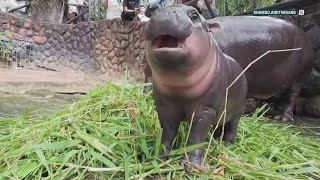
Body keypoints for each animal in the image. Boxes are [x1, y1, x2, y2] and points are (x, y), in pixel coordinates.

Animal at [144, 4, 248, 172]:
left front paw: (193, 166)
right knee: (220, 126)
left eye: (194, 15)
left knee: (232, 127)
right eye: (152, 12)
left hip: (238, 111)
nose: (164, 13)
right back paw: (217, 140)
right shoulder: (165, 106)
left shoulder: (205, 110)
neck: (178, 86)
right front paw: (161, 157)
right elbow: (167, 131)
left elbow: (196, 138)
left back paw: (227, 146)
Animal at [145, 7, 316, 122]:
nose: (163, 15)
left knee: (291, 97)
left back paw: (281, 118)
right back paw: (260, 111)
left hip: (300, 77)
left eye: (195, 15)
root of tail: (305, 36)